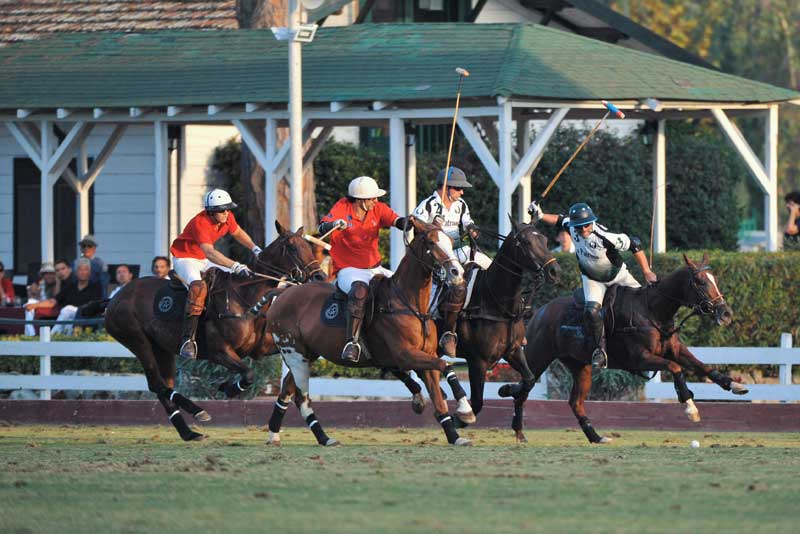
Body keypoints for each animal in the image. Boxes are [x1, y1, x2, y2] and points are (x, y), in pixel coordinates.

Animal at [104, 222, 324, 444]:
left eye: (308, 245)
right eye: (292, 247)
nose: (320, 276)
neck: (247, 298)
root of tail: (114, 298)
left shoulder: (266, 348)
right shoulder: (219, 352)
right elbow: (249, 374)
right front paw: (229, 388)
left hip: (162, 349)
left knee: (163, 386)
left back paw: (189, 433)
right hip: (138, 341)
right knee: (156, 383)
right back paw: (198, 412)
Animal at [262, 218, 476, 448]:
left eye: (449, 241)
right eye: (431, 242)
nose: (457, 272)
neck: (410, 303)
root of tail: (281, 293)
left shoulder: (423, 356)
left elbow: (439, 398)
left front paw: (455, 435)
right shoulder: (405, 355)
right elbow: (446, 365)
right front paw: (465, 410)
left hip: (306, 354)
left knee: (287, 391)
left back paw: (297, 435)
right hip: (294, 353)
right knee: (301, 397)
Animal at [520, 253, 744, 446]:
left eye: (714, 279)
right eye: (700, 282)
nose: (726, 313)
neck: (653, 311)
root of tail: (538, 312)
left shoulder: (675, 349)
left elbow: (703, 366)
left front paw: (733, 384)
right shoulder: (640, 358)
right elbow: (675, 368)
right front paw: (690, 407)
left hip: (580, 366)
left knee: (575, 402)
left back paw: (596, 437)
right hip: (536, 358)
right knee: (522, 389)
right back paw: (519, 433)